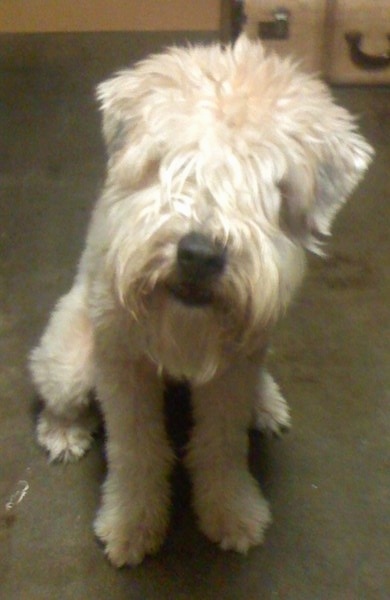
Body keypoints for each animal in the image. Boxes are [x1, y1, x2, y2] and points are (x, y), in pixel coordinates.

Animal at [29, 35, 374, 564]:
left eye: (272, 185)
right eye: (169, 160)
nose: (199, 254)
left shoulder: (232, 371)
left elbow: (222, 445)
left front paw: (231, 510)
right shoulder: (123, 365)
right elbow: (136, 450)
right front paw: (132, 522)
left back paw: (265, 403)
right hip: (70, 359)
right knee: (56, 393)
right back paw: (63, 432)